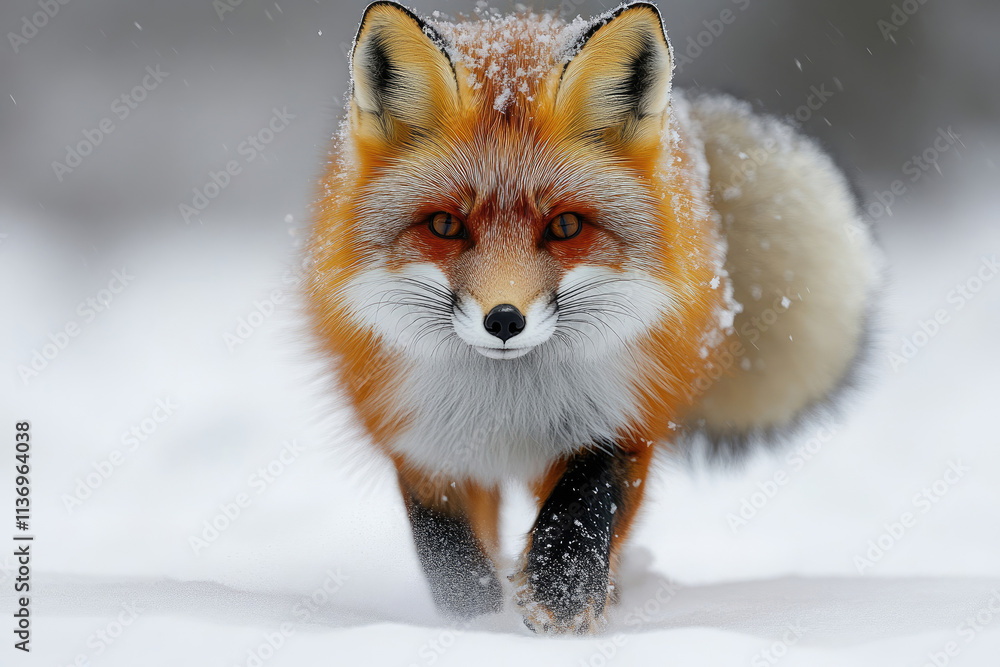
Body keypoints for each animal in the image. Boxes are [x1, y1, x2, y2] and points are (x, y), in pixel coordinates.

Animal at [304, 1, 878, 634]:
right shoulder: (425, 448)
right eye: (446, 225)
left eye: (566, 226)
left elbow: (586, 505)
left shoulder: (624, 417)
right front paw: (478, 628)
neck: (507, 407)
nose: (504, 321)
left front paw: (563, 596)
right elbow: (452, 563)